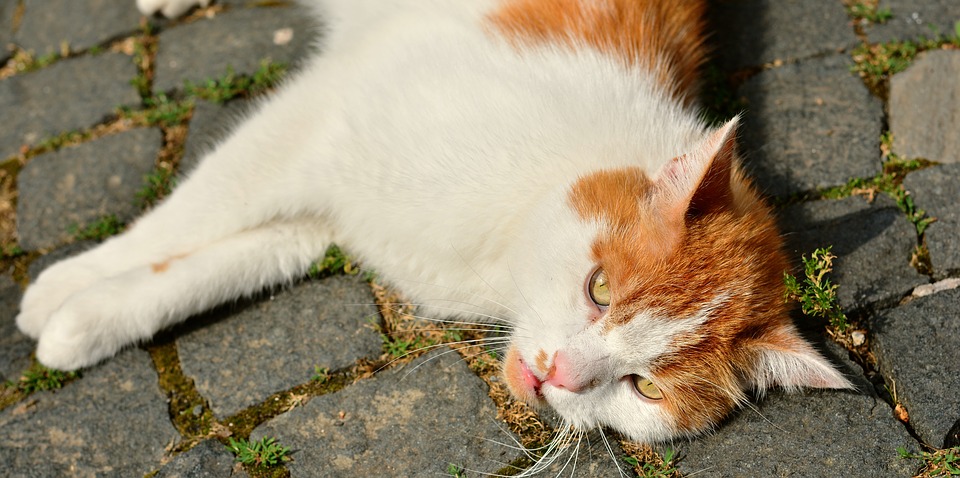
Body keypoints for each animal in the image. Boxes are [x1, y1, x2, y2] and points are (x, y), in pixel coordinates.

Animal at [18, 0, 852, 448]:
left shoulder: (335, 214)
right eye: (600, 288)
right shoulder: (313, 126)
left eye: (644, 388)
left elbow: (211, 266)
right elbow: (193, 209)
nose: (559, 373)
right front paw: (67, 281)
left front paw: (86, 319)